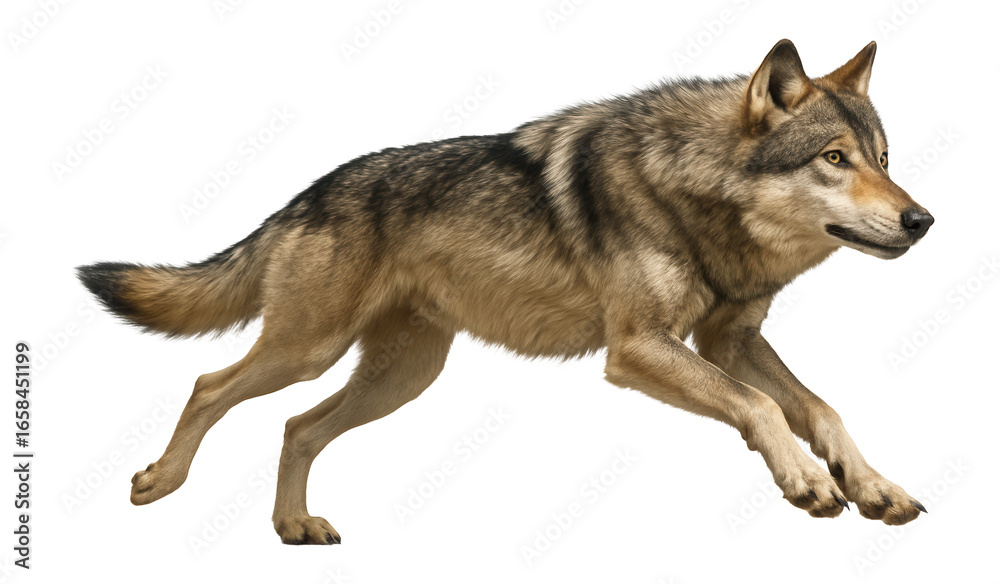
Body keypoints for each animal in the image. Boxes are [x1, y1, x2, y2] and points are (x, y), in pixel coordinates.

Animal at [78, 39, 934, 544]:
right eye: (833, 158)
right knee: (208, 385)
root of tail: (307, 193)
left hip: (401, 378)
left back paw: (294, 526)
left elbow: (821, 408)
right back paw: (160, 482)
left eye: (885, 157)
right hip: (307, 349)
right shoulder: (638, 349)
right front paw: (807, 482)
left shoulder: (730, 340)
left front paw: (873, 486)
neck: (693, 193)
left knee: (297, 427)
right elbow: (762, 408)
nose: (922, 219)